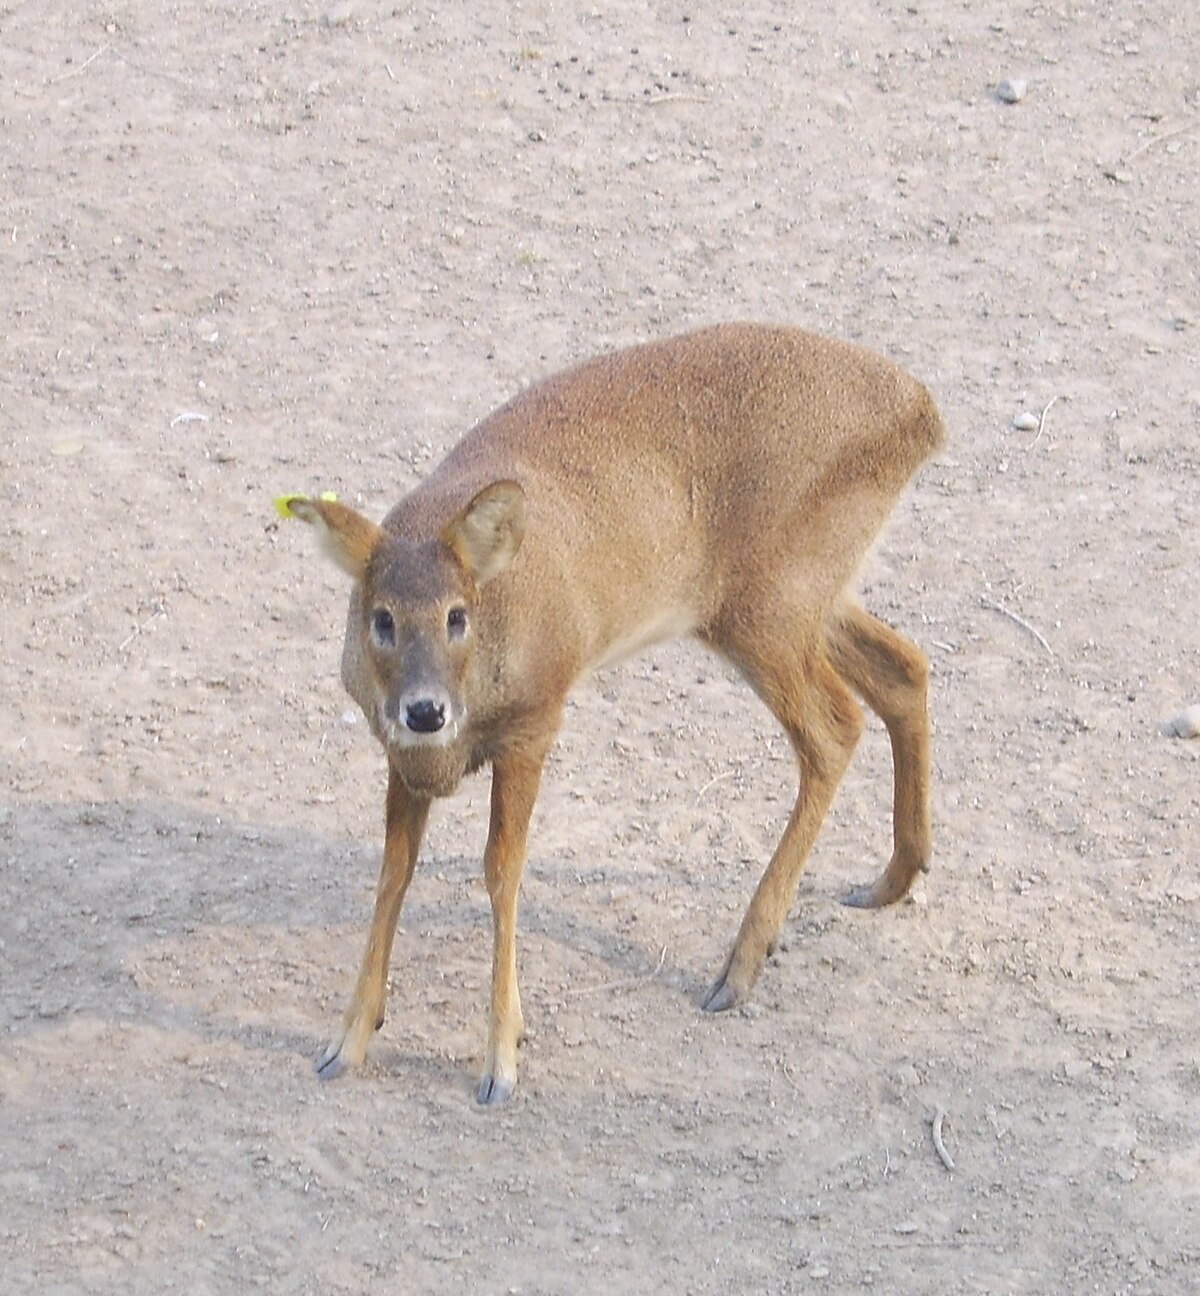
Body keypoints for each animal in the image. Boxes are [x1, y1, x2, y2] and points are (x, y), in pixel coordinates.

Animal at [282, 321, 948, 1104]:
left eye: (456, 615)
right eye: (381, 617)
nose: (424, 711)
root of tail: (922, 413)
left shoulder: (538, 720)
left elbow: (501, 872)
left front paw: (501, 1060)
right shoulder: (401, 758)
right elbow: (394, 870)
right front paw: (346, 1041)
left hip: (770, 602)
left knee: (835, 727)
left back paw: (738, 968)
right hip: (811, 596)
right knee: (905, 667)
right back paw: (893, 877)